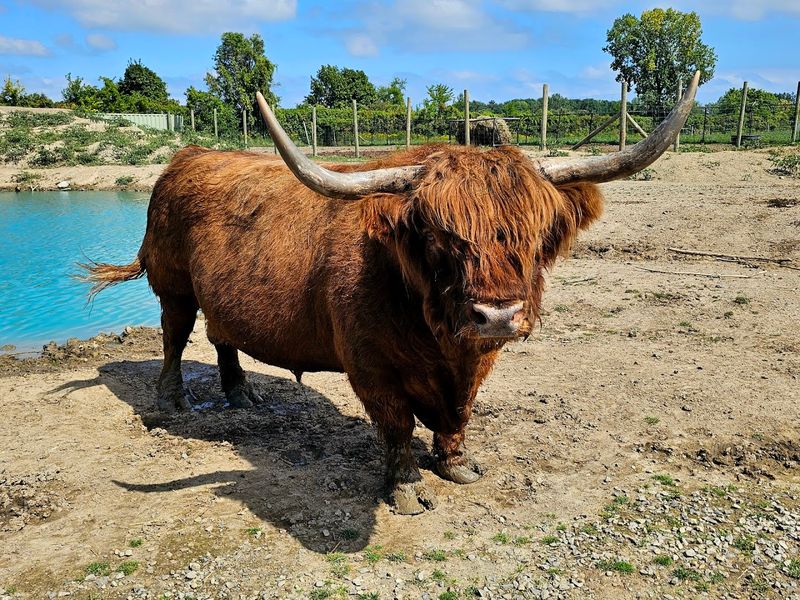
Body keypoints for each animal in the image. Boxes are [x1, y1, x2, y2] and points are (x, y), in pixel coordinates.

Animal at [84, 73, 699, 514]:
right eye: (439, 236)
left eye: (533, 233)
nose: (497, 316)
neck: (436, 334)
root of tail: (186, 157)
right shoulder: (371, 367)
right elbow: (398, 424)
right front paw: (405, 489)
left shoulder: (476, 364)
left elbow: (460, 417)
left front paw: (457, 464)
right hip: (173, 284)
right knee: (176, 335)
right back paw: (173, 401)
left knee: (222, 335)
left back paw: (241, 395)